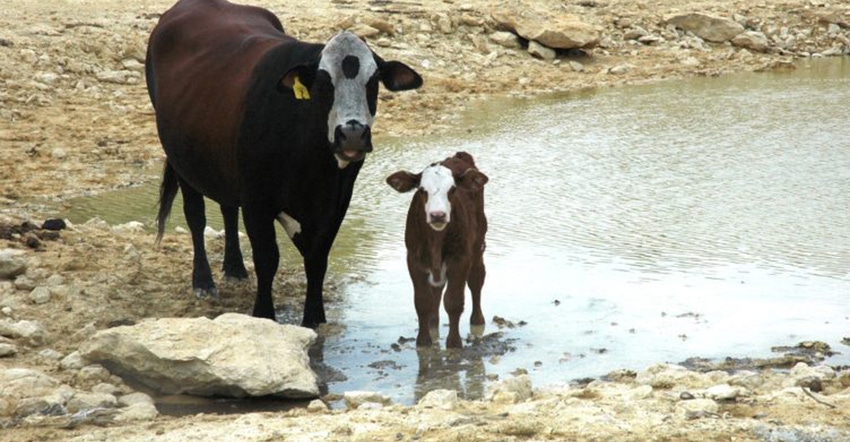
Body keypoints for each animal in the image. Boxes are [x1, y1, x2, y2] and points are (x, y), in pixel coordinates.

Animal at [148, 0, 424, 326]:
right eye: (323, 82)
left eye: (373, 82)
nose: (353, 135)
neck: (313, 164)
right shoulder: (257, 201)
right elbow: (268, 258)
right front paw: (264, 314)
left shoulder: (336, 202)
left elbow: (317, 258)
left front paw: (315, 318)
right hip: (182, 162)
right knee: (196, 216)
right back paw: (203, 281)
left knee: (228, 208)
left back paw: (235, 267)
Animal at [386, 152, 486, 348]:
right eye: (421, 190)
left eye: (452, 190)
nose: (437, 215)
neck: (435, 239)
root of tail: (459, 155)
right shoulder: (414, 260)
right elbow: (422, 301)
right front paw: (424, 341)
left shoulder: (461, 259)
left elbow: (454, 301)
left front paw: (454, 342)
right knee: (437, 289)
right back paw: (433, 323)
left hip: (478, 244)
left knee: (476, 279)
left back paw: (477, 320)